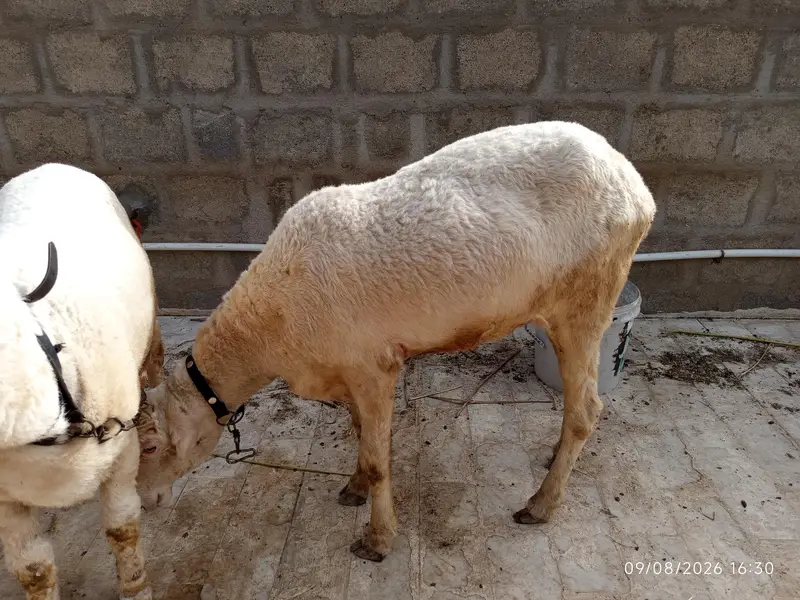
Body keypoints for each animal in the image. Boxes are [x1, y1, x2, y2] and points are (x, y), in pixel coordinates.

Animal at [136, 121, 656, 561]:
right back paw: (556, 460)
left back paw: (542, 504)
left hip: (589, 296)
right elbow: (362, 436)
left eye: (151, 447)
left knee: (587, 409)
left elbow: (379, 459)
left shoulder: (373, 365)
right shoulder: (345, 368)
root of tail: (634, 181)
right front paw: (353, 488)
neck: (268, 322)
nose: (144, 502)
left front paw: (377, 539)